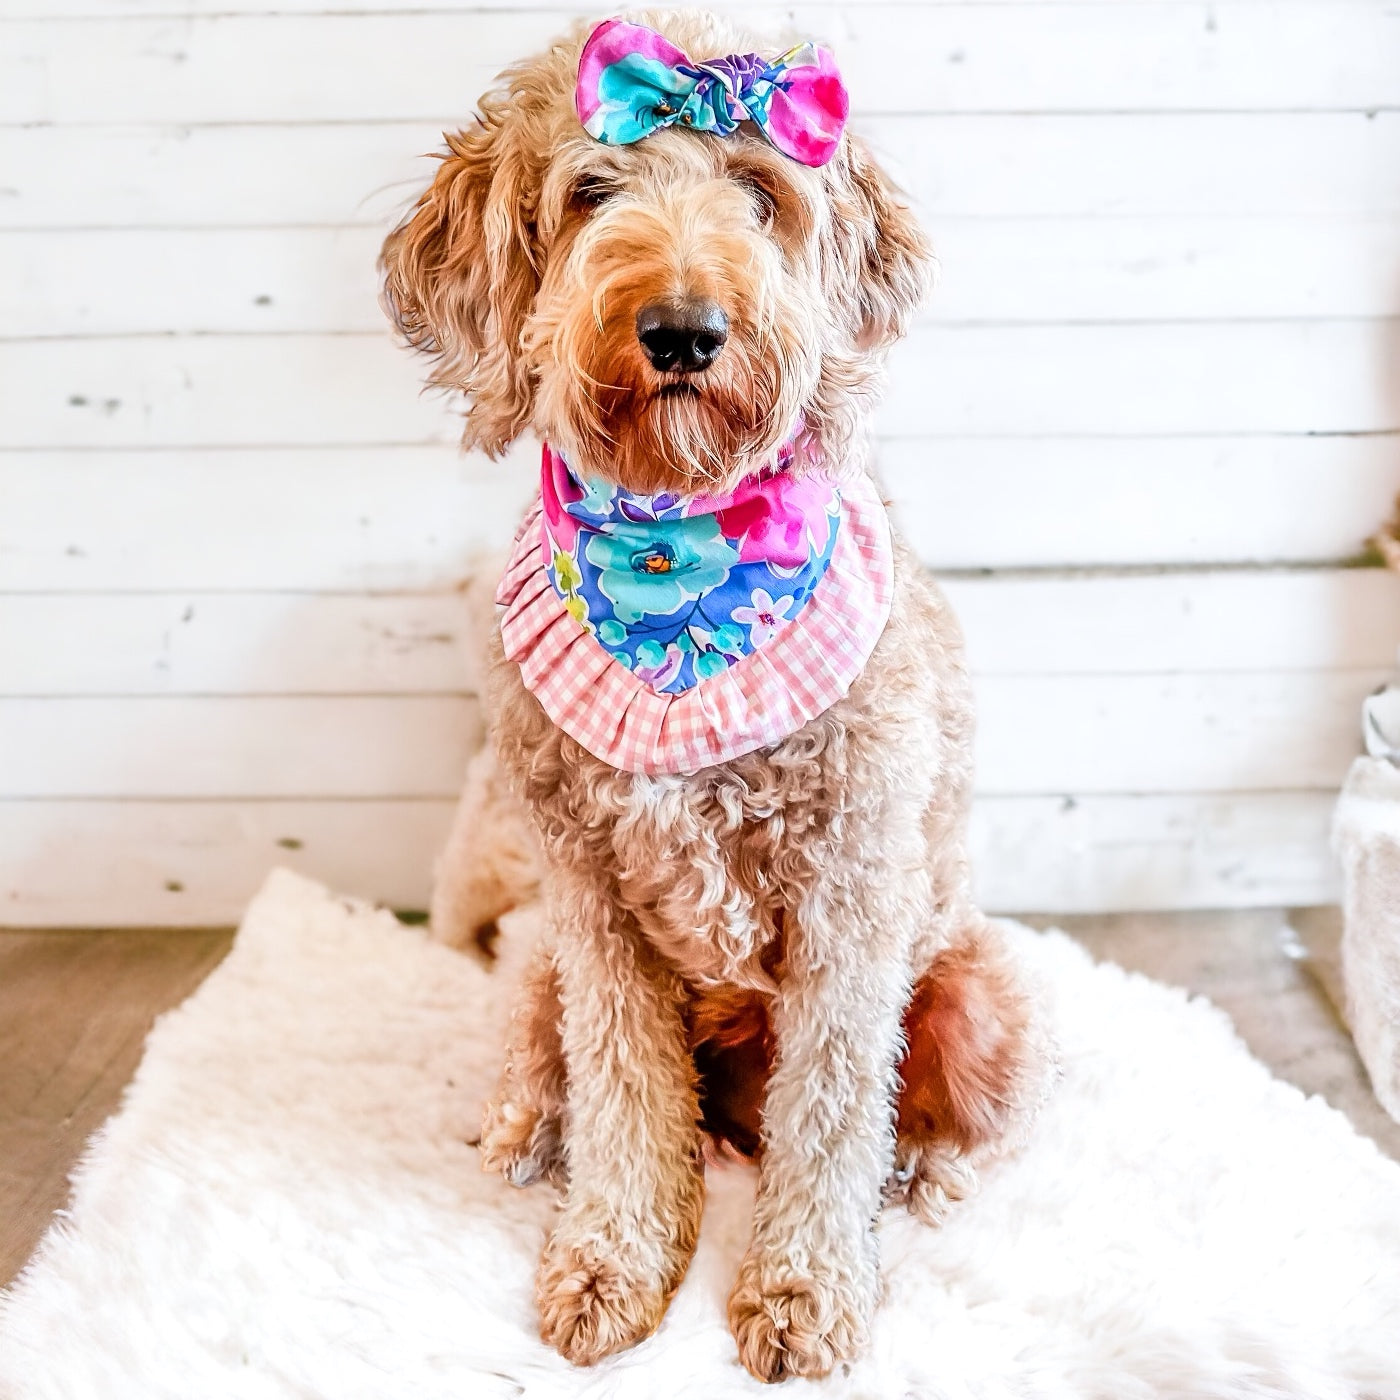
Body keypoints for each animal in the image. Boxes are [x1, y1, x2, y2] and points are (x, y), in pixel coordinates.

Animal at [380, 8, 1052, 1377]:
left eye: (757, 191)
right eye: (588, 191)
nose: (683, 328)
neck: (675, 553)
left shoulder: (852, 899)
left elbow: (833, 1108)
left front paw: (802, 1291)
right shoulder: (589, 903)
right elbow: (626, 1089)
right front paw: (611, 1262)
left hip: (977, 985)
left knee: (922, 1107)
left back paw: (920, 1170)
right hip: (538, 958)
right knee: (554, 1060)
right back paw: (525, 1129)